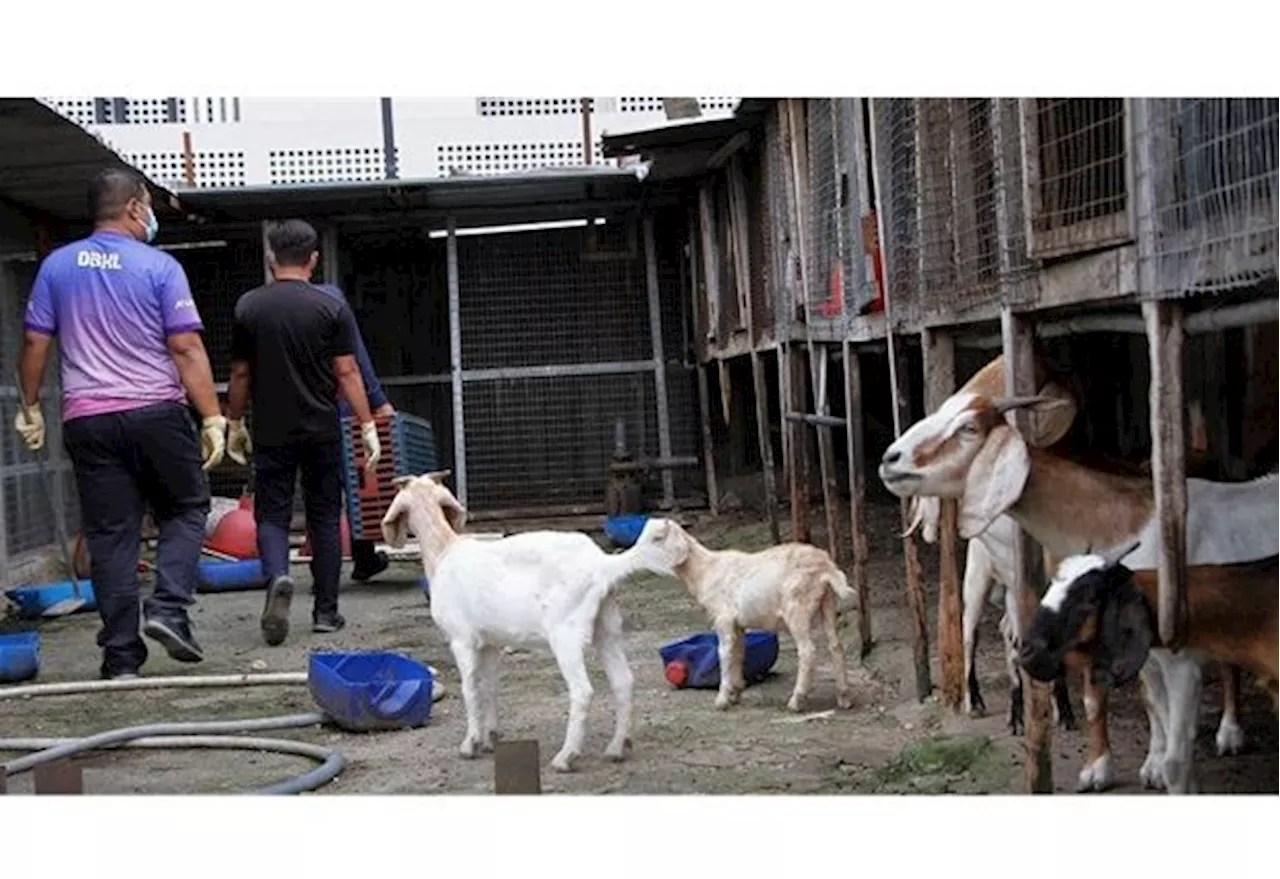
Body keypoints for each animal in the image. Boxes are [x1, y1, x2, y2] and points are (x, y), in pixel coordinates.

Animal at [376, 473, 660, 767]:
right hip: (607, 626)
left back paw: (565, 756)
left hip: (566, 633)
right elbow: (489, 686)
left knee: (583, 691)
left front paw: (470, 744)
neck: (443, 552)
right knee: (624, 681)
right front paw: (490, 738)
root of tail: (601, 564)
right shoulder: (490, 642)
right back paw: (616, 748)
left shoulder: (461, 639)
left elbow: (470, 688)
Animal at [627, 519, 855, 711]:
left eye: (657, 538)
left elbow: (724, 653)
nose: (633, 556)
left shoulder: (723, 618)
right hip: (827, 603)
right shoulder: (738, 624)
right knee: (835, 646)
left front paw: (722, 699)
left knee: (808, 651)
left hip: (797, 605)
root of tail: (826, 567)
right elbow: (739, 652)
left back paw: (797, 700)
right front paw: (736, 691)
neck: (703, 571)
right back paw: (844, 697)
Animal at [880, 391, 1280, 793]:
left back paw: (1230, 734)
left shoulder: (1180, 659)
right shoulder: (1147, 655)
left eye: (968, 428)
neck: (1123, 521)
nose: (890, 459)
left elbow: (1176, 762)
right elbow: (1152, 709)